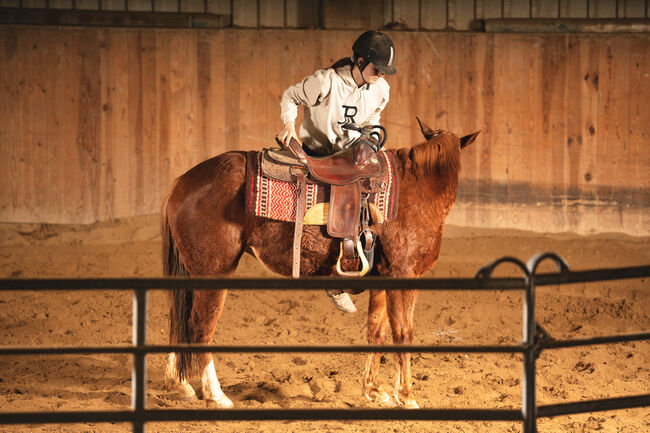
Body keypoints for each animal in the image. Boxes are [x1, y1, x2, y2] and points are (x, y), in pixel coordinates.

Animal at [161, 119, 476, 408]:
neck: (418, 189)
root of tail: (181, 183)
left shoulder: (382, 277)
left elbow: (377, 330)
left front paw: (374, 391)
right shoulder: (404, 274)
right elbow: (403, 332)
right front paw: (406, 395)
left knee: (179, 321)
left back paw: (179, 386)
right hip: (213, 272)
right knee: (200, 327)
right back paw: (216, 396)